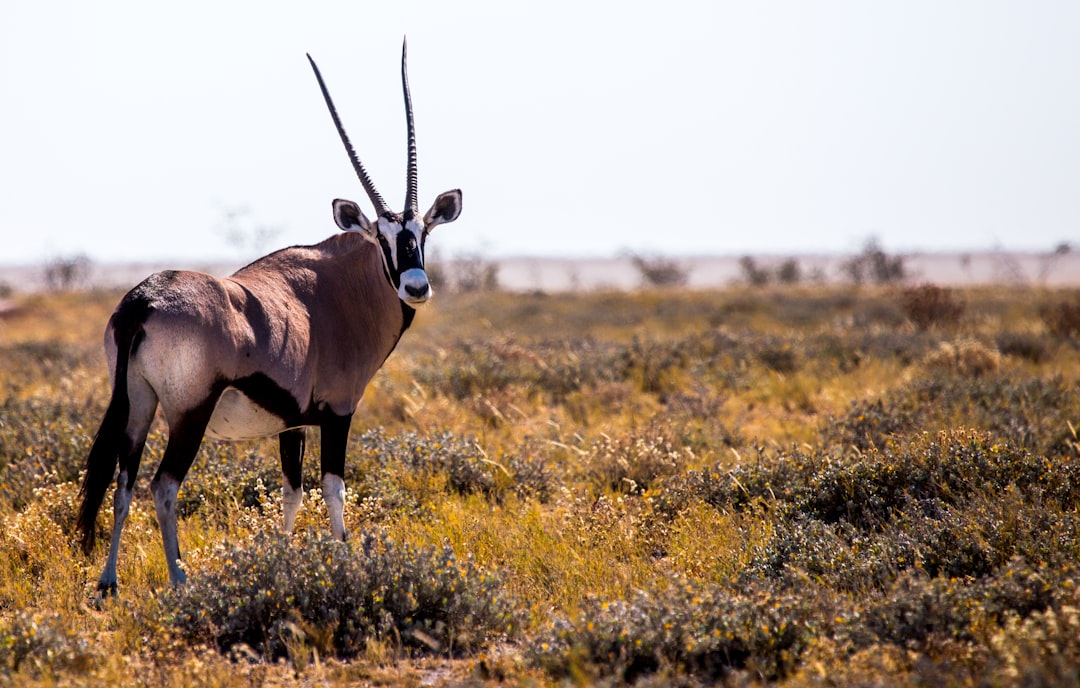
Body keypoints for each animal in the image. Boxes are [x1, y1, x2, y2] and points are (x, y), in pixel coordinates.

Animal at [75, 41, 461, 596]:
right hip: (189, 412)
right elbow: (333, 488)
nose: (416, 286)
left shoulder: (291, 423)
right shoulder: (338, 413)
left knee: (124, 481)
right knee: (163, 486)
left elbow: (291, 492)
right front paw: (343, 561)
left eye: (422, 232)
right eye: (382, 237)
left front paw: (284, 558)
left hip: (137, 405)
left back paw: (108, 580)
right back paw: (180, 580)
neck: (336, 290)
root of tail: (144, 299)